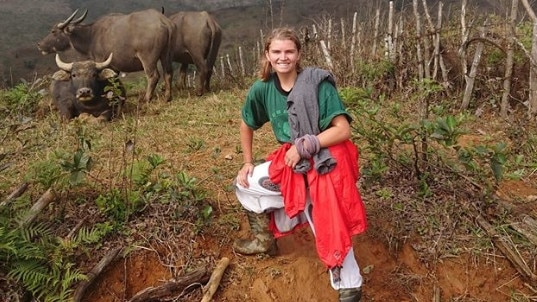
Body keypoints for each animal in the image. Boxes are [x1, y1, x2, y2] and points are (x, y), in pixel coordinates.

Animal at [37, 8, 176, 102]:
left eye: (53, 31)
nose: (39, 45)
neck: (91, 35)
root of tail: (163, 21)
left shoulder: (101, 61)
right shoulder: (115, 67)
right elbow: (114, 82)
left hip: (148, 58)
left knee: (153, 76)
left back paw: (146, 99)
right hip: (166, 54)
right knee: (168, 73)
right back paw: (167, 97)